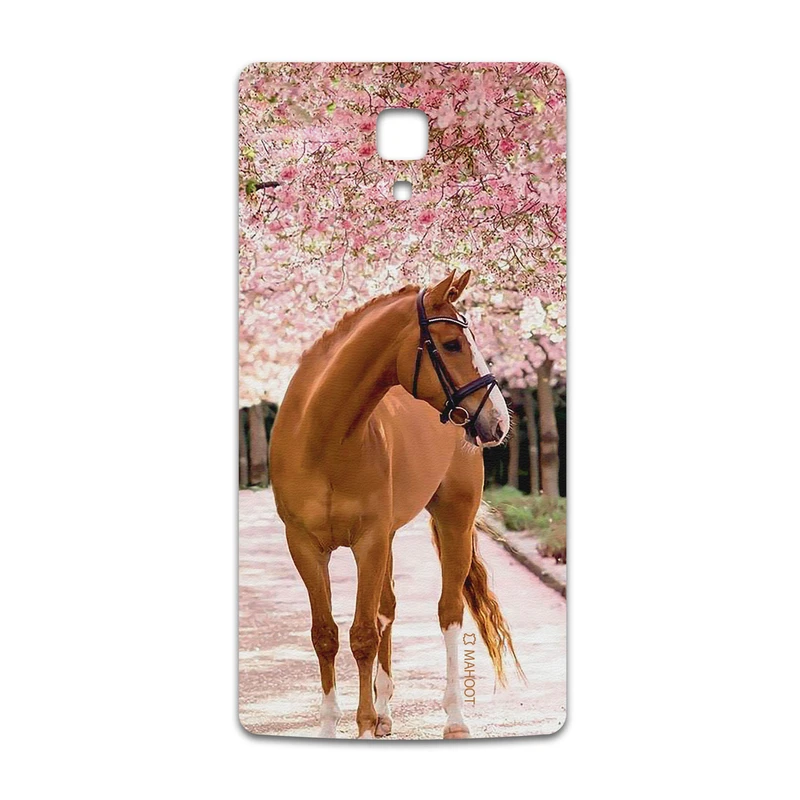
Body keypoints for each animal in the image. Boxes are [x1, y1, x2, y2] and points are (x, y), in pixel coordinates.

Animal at [269, 270, 520, 739]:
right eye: (452, 344)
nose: (498, 420)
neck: (323, 438)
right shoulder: (306, 546)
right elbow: (326, 634)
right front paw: (335, 726)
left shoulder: (368, 541)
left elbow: (363, 634)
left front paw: (364, 726)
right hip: (387, 537)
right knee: (387, 609)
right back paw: (386, 711)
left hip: (453, 522)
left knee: (448, 611)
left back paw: (454, 719)